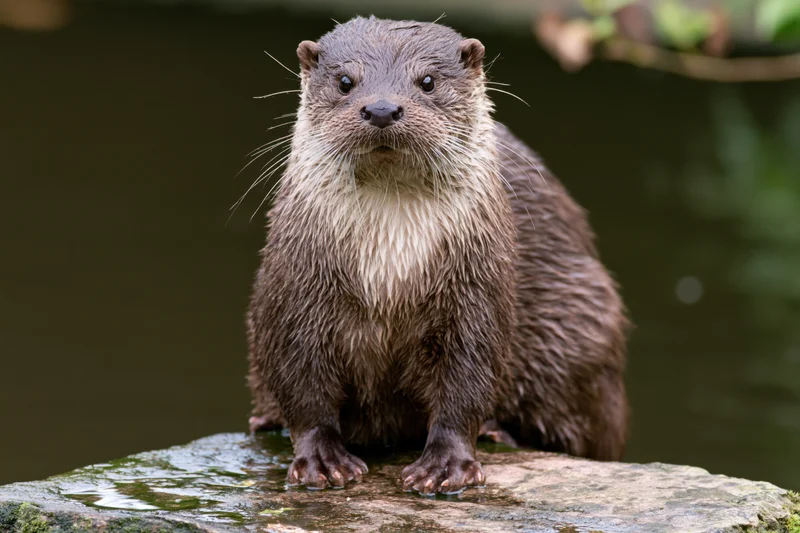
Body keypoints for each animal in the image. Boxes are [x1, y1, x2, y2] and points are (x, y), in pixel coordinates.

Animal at [246, 16, 629, 495]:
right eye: (345, 81)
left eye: (427, 81)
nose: (382, 109)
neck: (389, 269)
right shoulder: (295, 289)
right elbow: (302, 384)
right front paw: (320, 459)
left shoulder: (476, 292)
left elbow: (467, 380)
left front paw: (447, 465)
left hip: (580, 327)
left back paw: (499, 431)